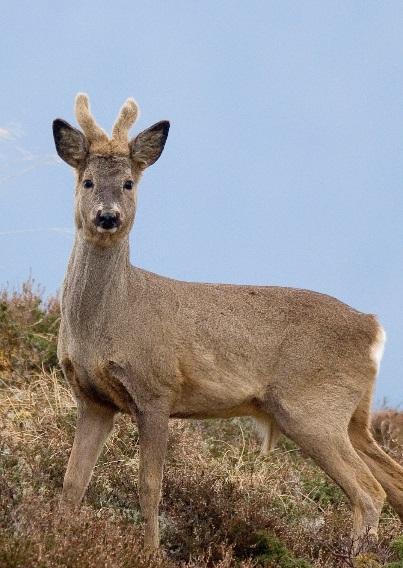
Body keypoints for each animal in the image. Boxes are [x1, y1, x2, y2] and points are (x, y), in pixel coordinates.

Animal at [52, 93, 403, 552]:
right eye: (88, 181)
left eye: (129, 183)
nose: (107, 217)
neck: (108, 322)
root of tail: (373, 328)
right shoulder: (93, 399)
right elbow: (73, 482)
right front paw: (59, 537)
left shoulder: (156, 389)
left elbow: (150, 486)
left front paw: (149, 551)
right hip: (354, 415)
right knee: (392, 480)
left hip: (313, 408)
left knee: (369, 491)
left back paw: (352, 554)